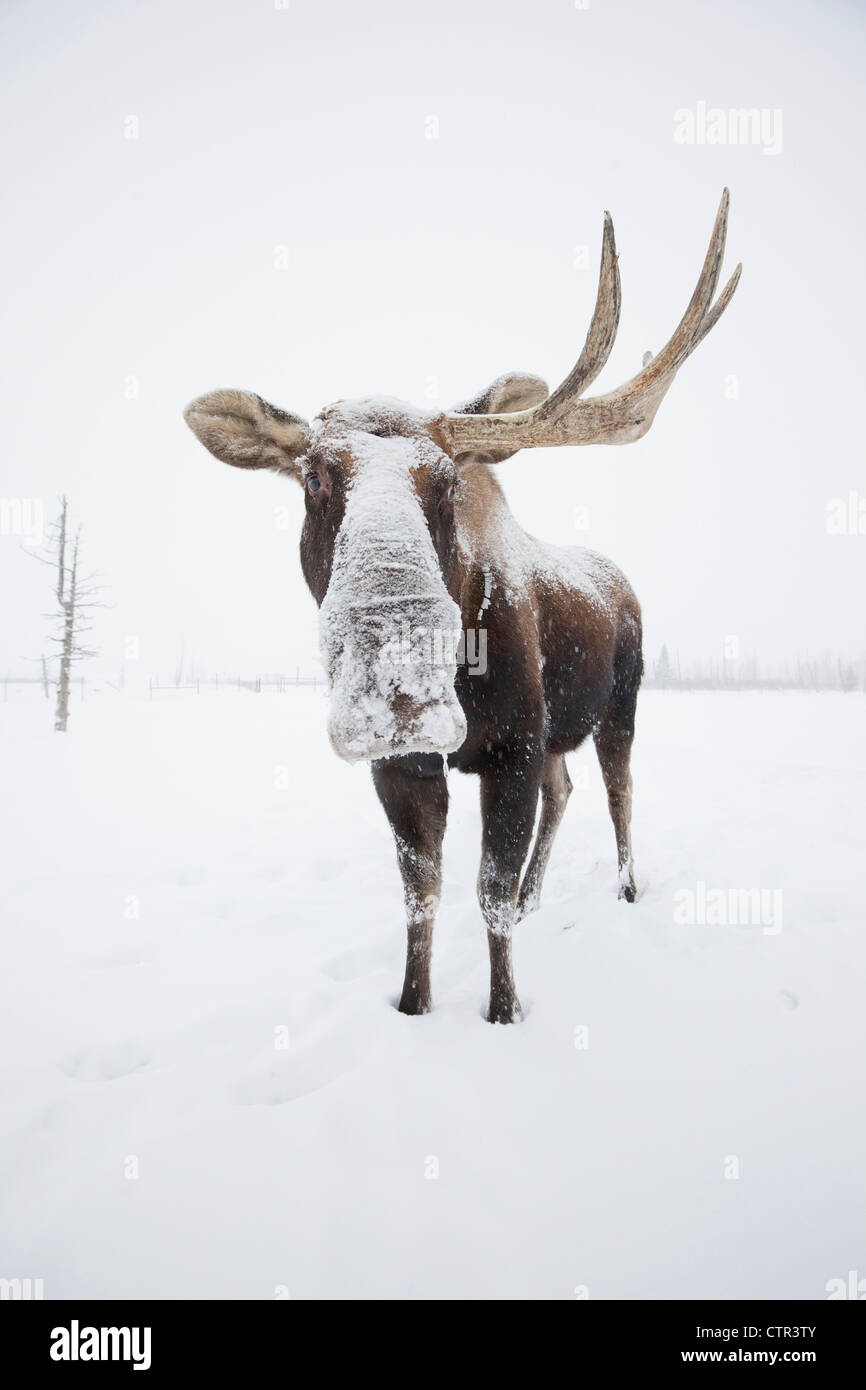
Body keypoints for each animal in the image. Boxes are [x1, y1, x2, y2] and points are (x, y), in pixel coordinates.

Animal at [183, 193, 739, 1023]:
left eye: (448, 482)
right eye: (311, 477)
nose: (395, 685)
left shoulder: (513, 747)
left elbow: (489, 894)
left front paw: (504, 1011)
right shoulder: (406, 764)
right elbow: (423, 892)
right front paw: (413, 1004)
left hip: (621, 706)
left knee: (619, 792)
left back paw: (627, 888)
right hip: (561, 732)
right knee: (565, 791)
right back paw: (544, 894)